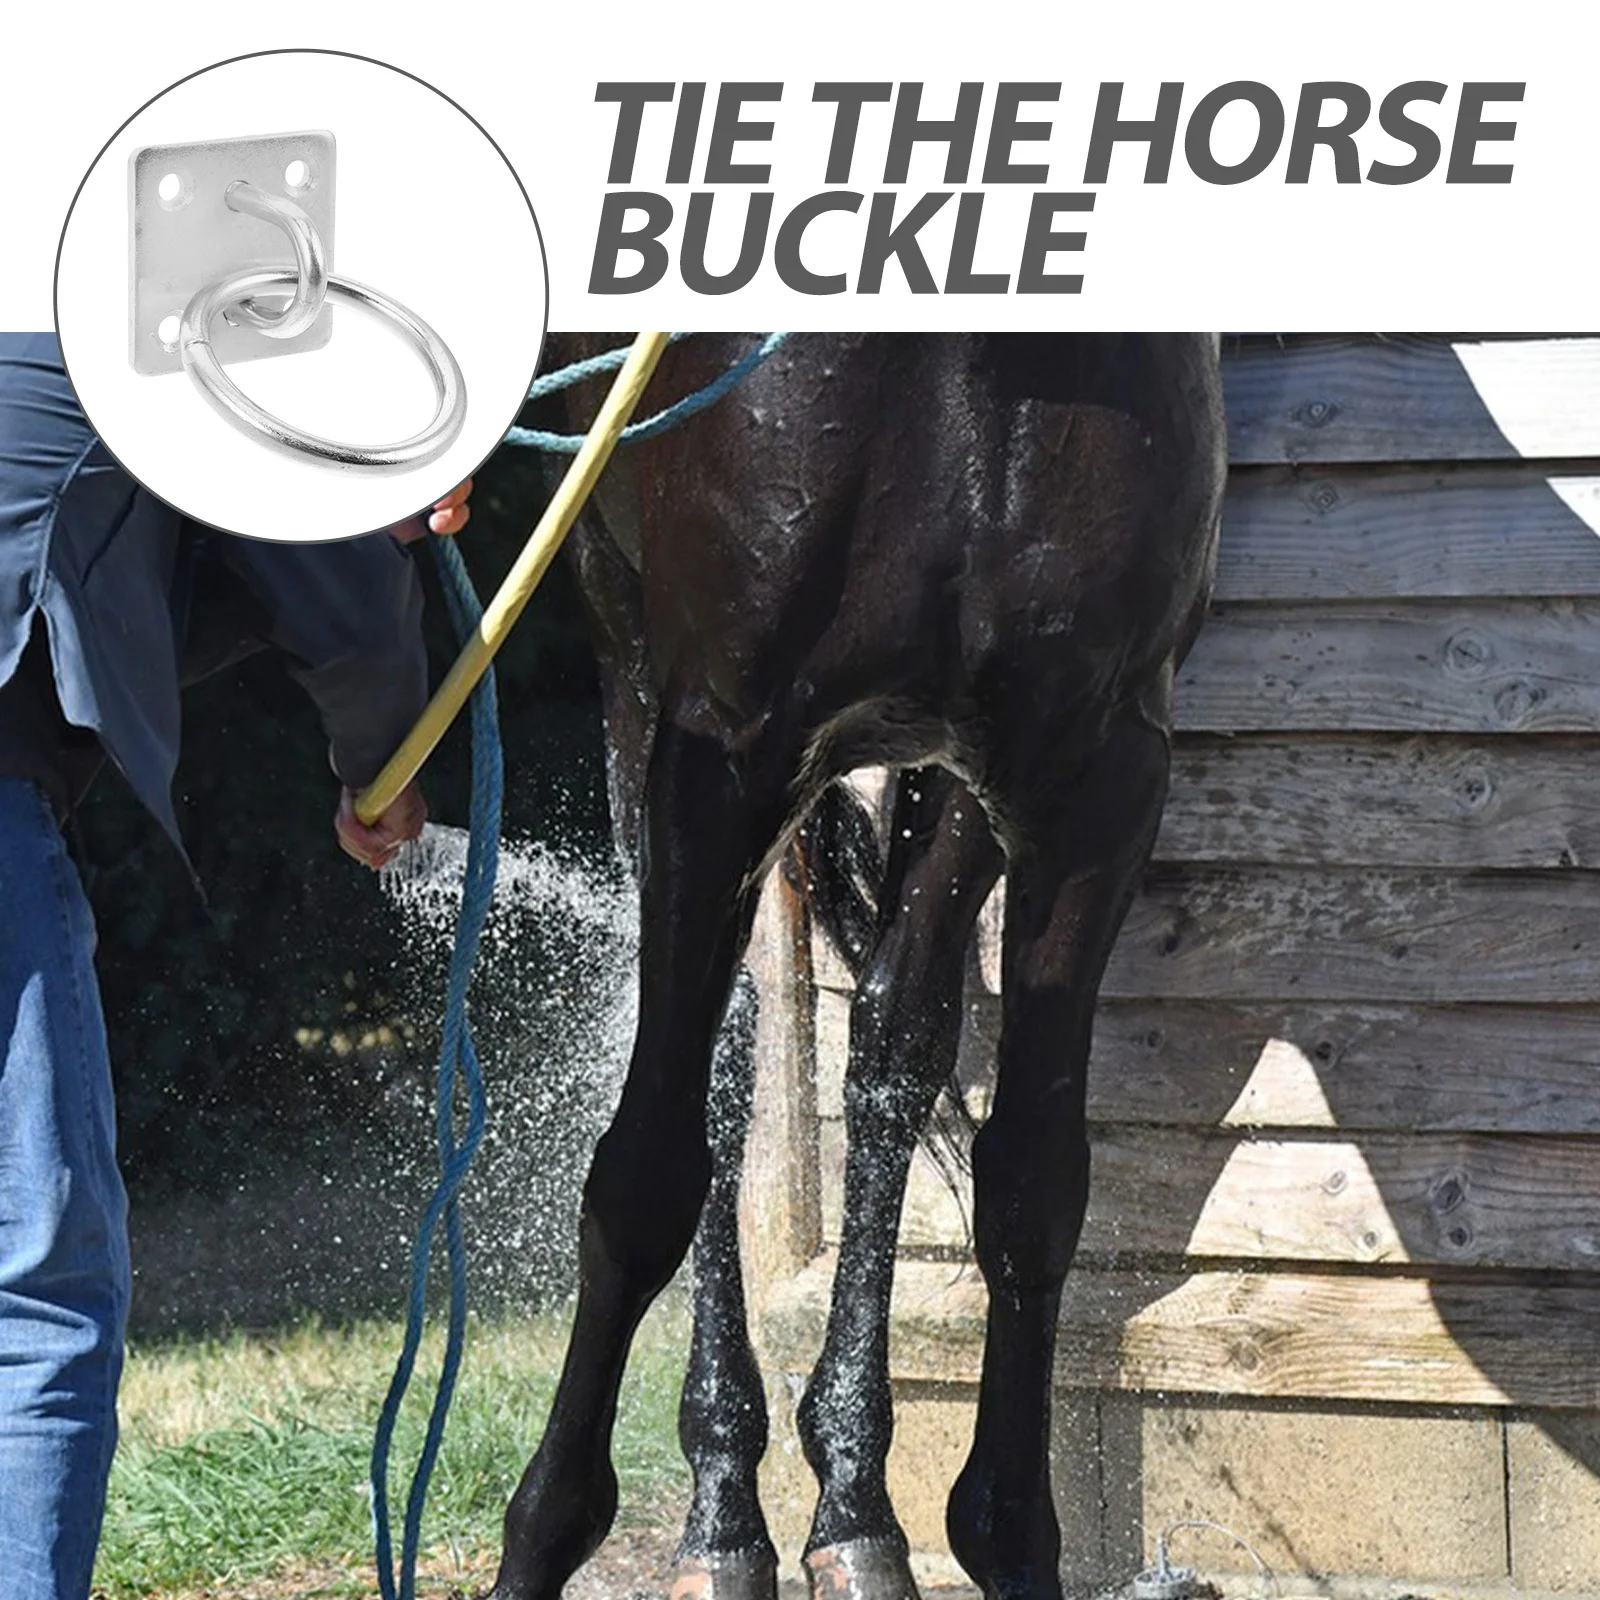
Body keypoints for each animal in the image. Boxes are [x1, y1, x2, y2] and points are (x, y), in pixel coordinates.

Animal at [486, 332, 1227, 1600]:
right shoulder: (718, 754)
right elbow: (645, 1175)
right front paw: (544, 1531)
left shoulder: (1095, 774)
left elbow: (1032, 1184)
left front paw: (1004, 1533)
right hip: (636, 684)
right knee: (722, 1063)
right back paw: (722, 1521)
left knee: (893, 1038)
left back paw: (854, 1513)